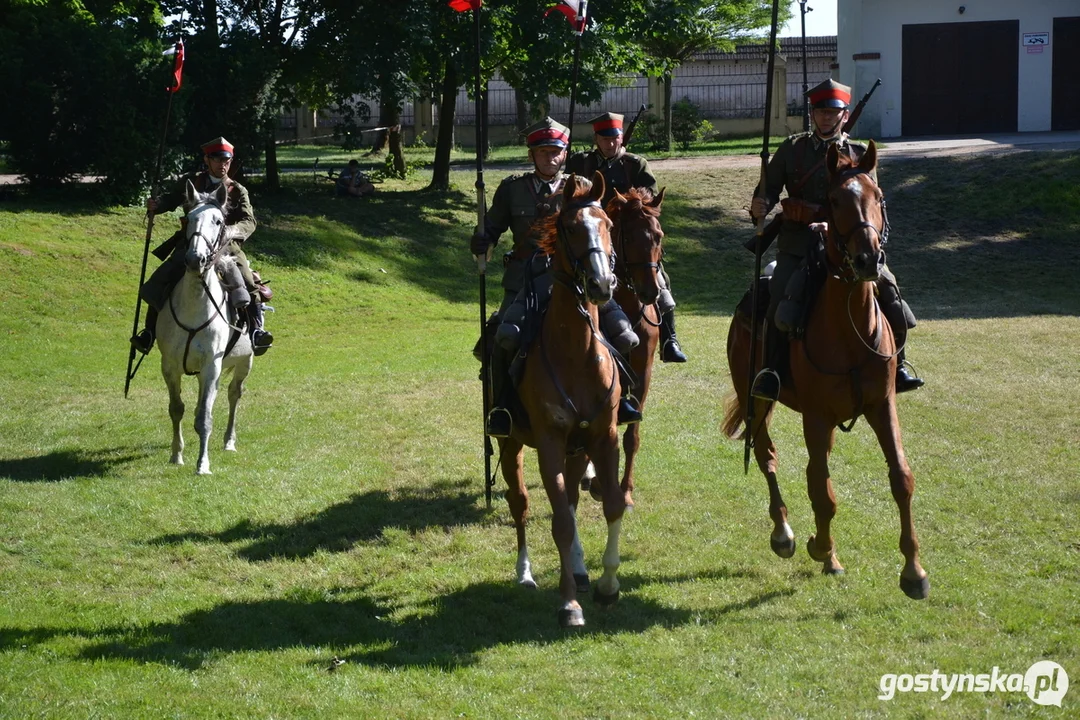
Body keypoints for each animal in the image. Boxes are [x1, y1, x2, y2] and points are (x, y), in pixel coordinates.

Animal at [498, 171, 630, 626]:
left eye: (608, 223)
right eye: (570, 227)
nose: (602, 284)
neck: (576, 353)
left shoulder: (604, 438)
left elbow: (610, 506)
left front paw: (608, 586)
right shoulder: (551, 443)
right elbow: (558, 521)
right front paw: (569, 603)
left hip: (579, 449)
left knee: (571, 499)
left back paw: (579, 568)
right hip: (510, 443)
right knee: (520, 503)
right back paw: (525, 574)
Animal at [721, 139, 924, 595]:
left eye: (878, 196)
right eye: (833, 200)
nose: (868, 260)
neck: (849, 328)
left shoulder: (882, 406)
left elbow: (900, 478)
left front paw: (914, 571)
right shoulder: (814, 416)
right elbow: (821, 489)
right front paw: (826, 553)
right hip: (756, 397)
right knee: (767, 454)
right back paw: (784, 533)